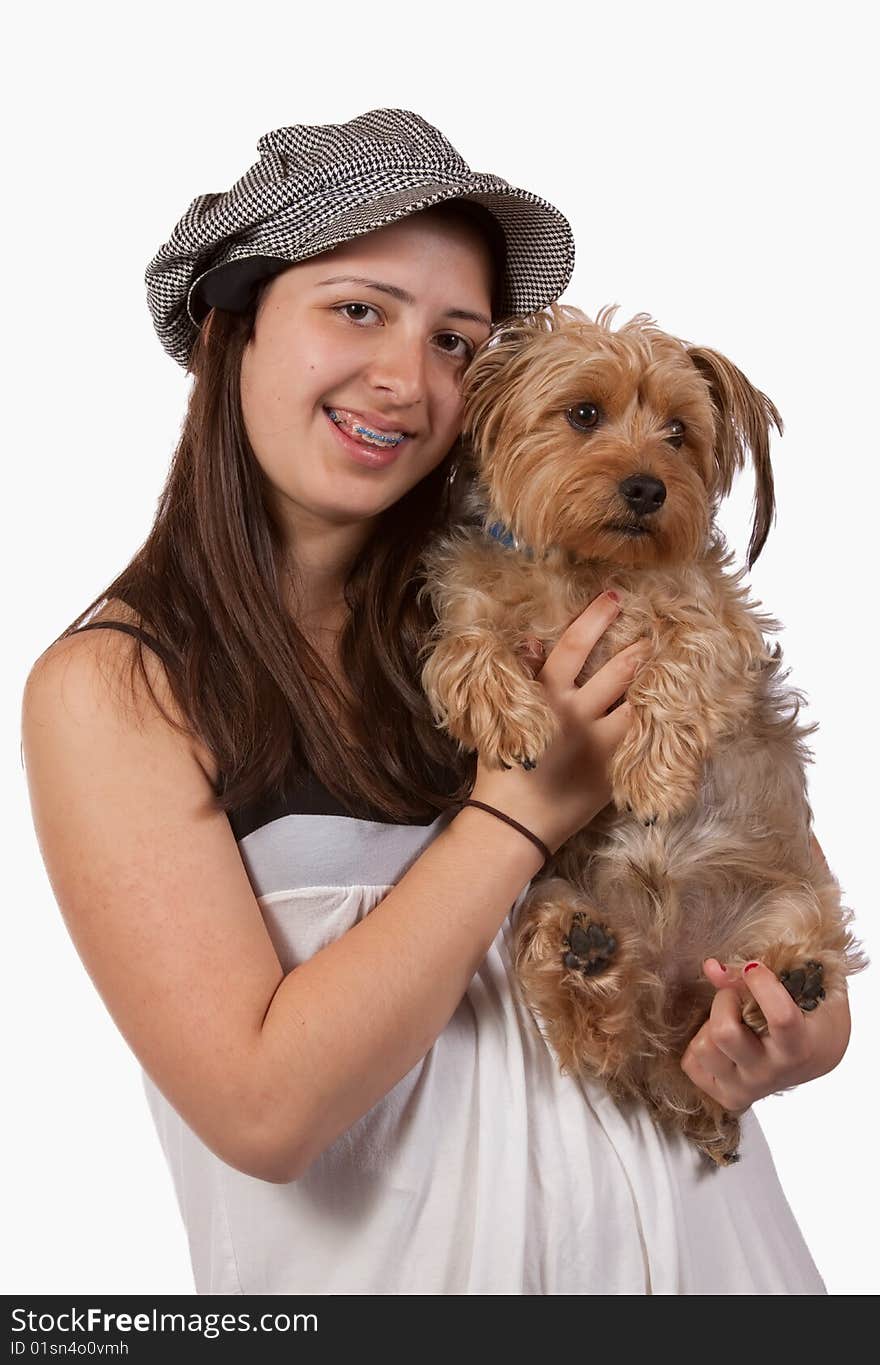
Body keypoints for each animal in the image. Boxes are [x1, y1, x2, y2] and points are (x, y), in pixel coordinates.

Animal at [420, 307, 862, 1162]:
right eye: (585, 413)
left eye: (679, 432)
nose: (648, 487)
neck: (586, 567)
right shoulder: (470, 600)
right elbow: (463, 649)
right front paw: (514, 718)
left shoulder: (719, 623)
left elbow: (682, 658)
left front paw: (652, 776)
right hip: (547, 901)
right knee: (595, 1028)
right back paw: (588, 957)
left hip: (794, 899)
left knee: (781, 964)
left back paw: (786, 982)